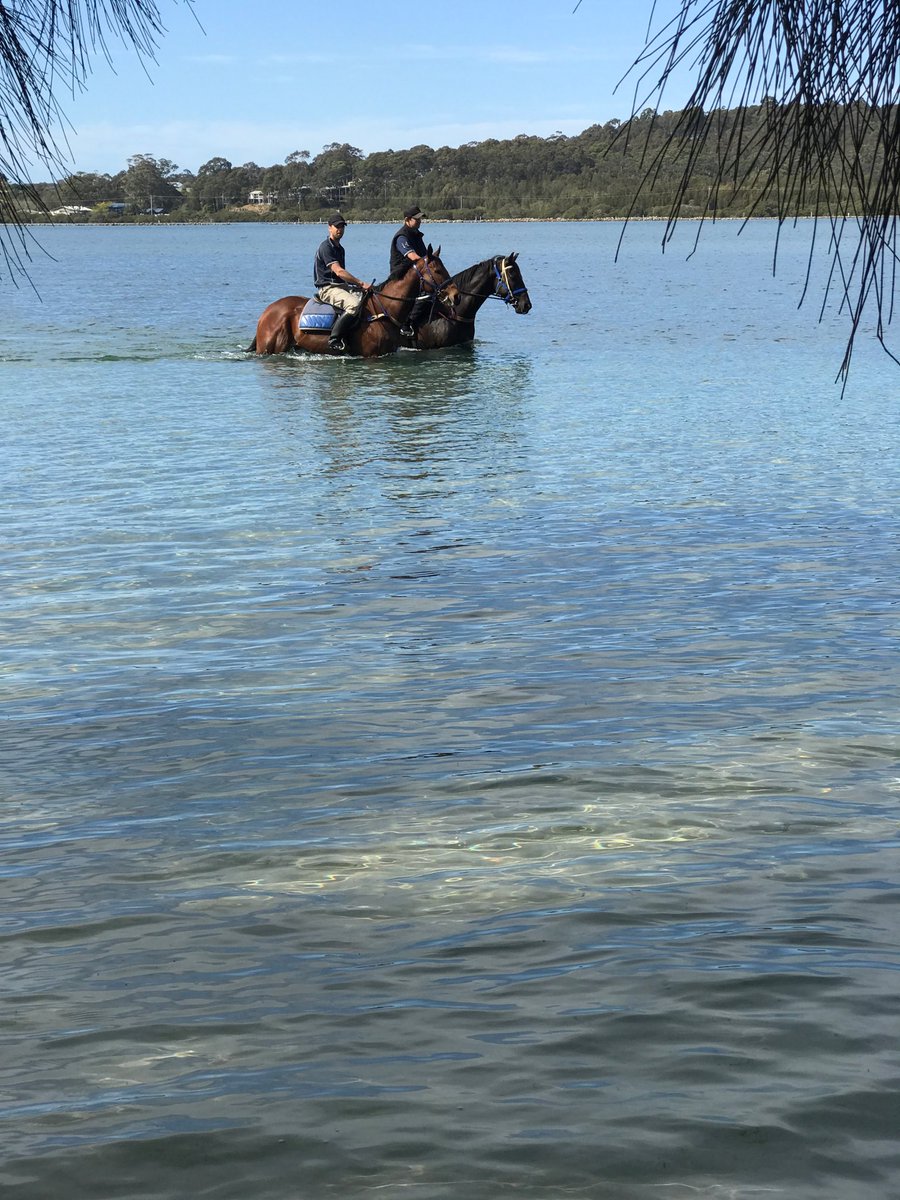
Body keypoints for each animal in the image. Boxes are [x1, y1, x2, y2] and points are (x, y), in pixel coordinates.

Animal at [247, 247, 457, 357]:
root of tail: (266, 312)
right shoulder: (372, 356)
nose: (455, 295)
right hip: (271, 348)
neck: (385, 309)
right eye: (437, 270)